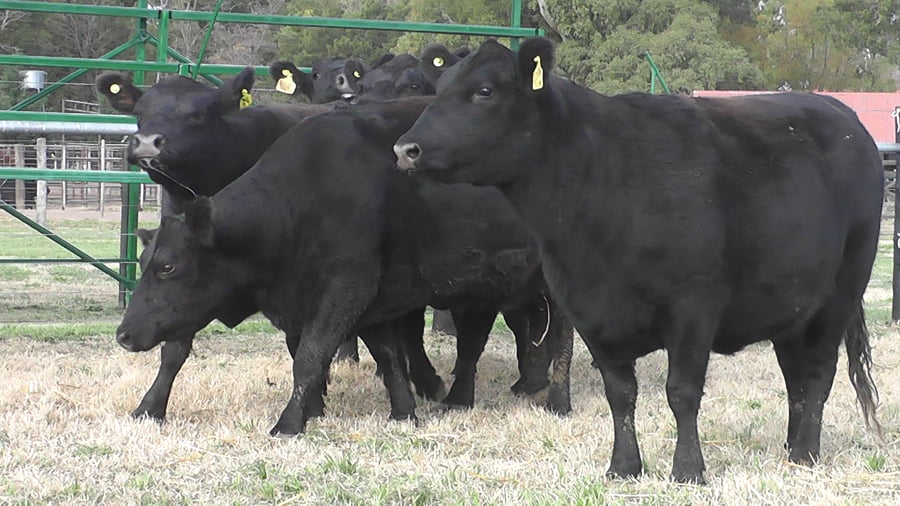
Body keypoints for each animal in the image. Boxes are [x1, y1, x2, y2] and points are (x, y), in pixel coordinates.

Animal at [114, 97, 573, 437]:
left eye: (168, 267)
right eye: (144, 262)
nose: (124, 334)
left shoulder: (345, 286)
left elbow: (310, 355)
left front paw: (289, 423)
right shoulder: (375, 295)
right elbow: (387, 354)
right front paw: (404, 411)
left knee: (561, 338)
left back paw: (558, 401)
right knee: (486, 338)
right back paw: (465, 398)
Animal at [395, 37, 883, 484]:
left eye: (484, 91)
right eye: (440, 86)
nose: (405, 149)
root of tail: (839, 112)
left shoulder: (694, 307)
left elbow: (681, 392)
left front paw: (688, 471)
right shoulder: (589, 310)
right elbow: (620, 394)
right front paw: (624, 467)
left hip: (840, 293)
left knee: (818, 374)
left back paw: (805, 454)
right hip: (791, 305)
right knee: (794, 377)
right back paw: (792, 445)